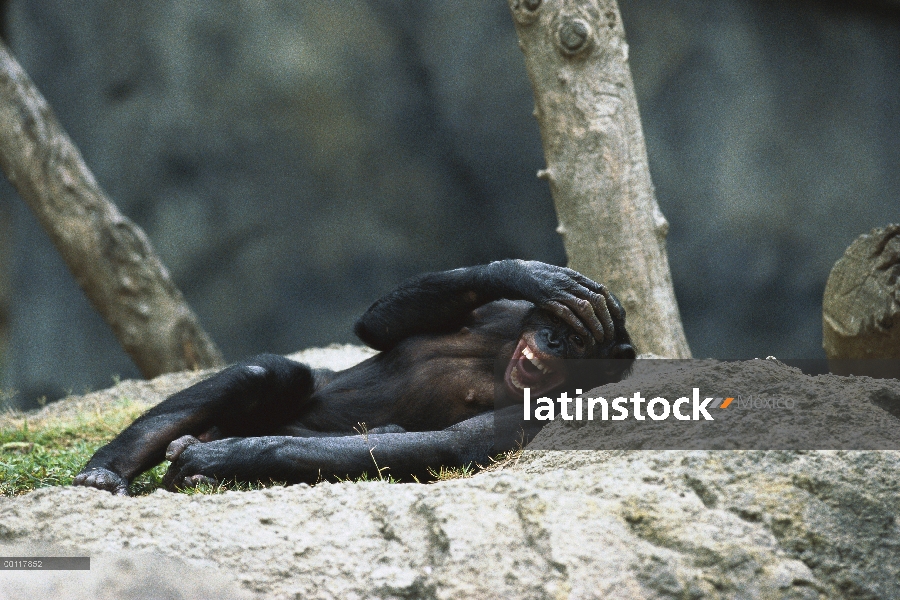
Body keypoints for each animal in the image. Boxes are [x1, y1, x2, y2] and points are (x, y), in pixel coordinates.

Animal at [75, 260, 632, 494]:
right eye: (563, 323)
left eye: (581, 341)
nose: (554, 341)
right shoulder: (505, 314)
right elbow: (377, 326)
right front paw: (530, 273)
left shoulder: (550, 411)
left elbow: (450, 445)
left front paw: (219, 459)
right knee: (270, 372)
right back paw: (106, 471)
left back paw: (201, 455)